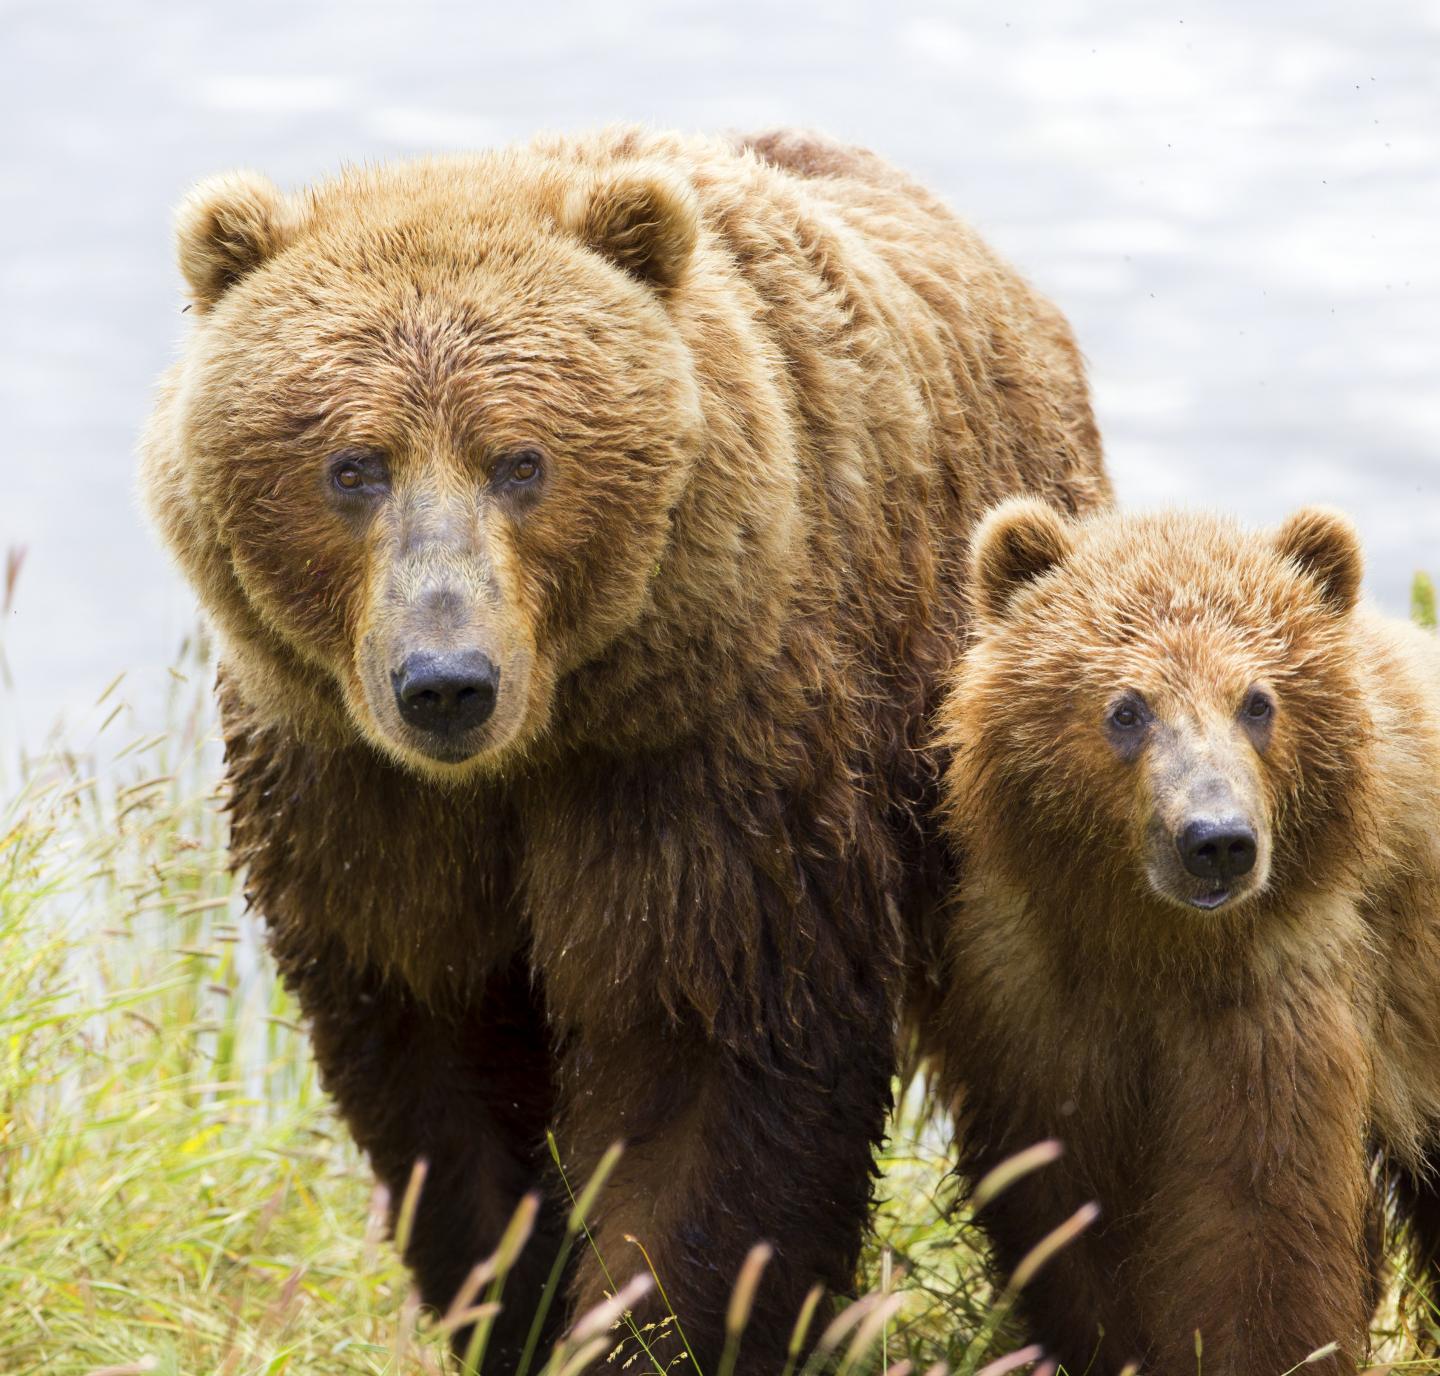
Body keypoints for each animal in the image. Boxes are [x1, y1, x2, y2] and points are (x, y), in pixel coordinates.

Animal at [139, 127, 1110, 1372]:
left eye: (521, 459)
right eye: (353, 465)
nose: (446, 681)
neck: (531, 749)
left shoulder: (699, 767)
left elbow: (698, 1067)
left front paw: (650, 1325)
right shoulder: (361, 797)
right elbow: (434, 1067)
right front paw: (508, 1294)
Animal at [931, 498, 1440, 1373]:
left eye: (1259, 700)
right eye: (1127, 707)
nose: (1217, 840)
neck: (1158, 945)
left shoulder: (1273, 993)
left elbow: (1255, 1216)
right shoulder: (1044, 1005)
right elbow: (1073, 1211)